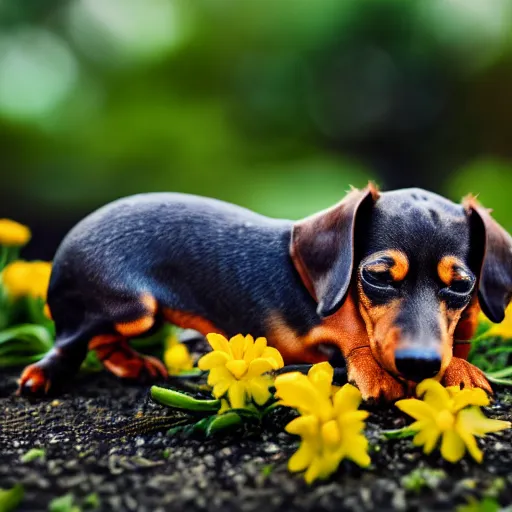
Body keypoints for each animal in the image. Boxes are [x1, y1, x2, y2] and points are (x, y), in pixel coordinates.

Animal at [18, 184, 510, 400]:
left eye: (462, 286)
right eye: (378, 276)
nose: (419, 364)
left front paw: (459, 367)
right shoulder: (328, 324)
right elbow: (354, 333)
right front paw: (379, 372)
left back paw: (131, 363)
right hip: (134, 306)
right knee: (71, 338)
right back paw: (45, 374)